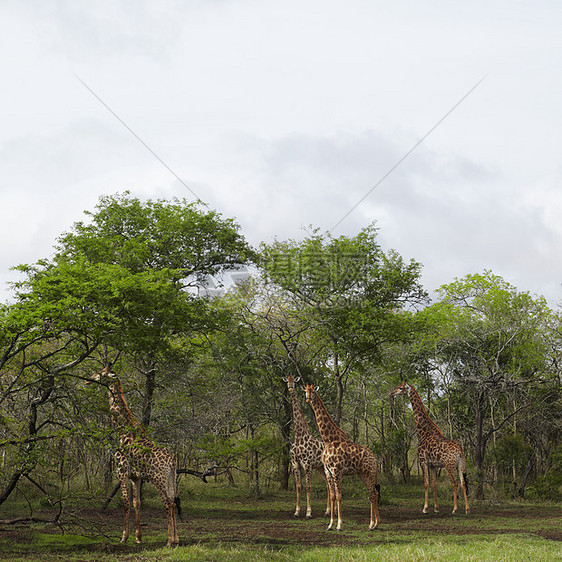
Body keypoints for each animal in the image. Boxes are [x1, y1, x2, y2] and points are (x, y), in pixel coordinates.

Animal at [86, 366, 178, 544]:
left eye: (100, 373)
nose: (88, 380)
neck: (123, 431)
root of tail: (171, 461)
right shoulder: (136, 477)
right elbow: (137, 503)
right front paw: (138, 537)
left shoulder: (121, 471)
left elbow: (125, 503)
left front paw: (124, 536)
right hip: (171, 479)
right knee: (173, 501)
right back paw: (176, 538)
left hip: (158, 479)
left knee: (168, 503)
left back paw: (170, 540)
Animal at [282, 374, 330, 520]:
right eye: (287, 381)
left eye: (294, 382)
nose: (290, 388)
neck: (299, 436)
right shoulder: (295, 463)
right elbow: (298, 487)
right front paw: (296, 512)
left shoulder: (307, 464)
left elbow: (308, 487)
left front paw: (308, 513)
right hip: (320, 468)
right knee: (328, 484)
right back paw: (327, 512)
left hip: (323, 467)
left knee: (330, 485)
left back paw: (329, 511)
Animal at [302, 380, 380, 528]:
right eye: (305, 391)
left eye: (313, 391)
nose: (308, 399)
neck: (328, 440)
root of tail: (375, 458)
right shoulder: (328, 470)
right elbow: (332, 495)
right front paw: (330, 524)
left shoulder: (337, 470)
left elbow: (339, 496)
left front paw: (339, 525)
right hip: (362, 474)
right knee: (372, 493)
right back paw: (373, 524)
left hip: (370, 472)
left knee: (373, 493)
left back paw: (373, 524)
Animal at [390, 380, 468, 512]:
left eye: (400, 388)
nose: (391, 394)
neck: (424, 431)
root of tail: (459, 451)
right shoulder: (433, 465)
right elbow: (434, 484)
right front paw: (436, 508)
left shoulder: (423, 461)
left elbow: (426, 483)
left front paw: (425, 508)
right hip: (460, 465)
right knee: (462, 483)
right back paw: (467, 509)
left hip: (449, 465)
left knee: (455, 483)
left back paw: (455, 508)